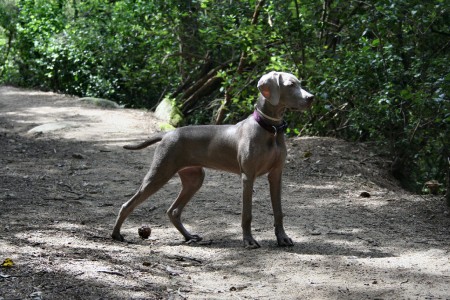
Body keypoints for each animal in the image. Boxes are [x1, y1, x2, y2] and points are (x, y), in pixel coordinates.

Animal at [112, 71, 312, 248]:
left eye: (299, 83)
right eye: (290, 85)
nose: (312, 97)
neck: (270, 128)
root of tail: (168, 133)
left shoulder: (276, 174)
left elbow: (279, 211)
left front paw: (282, 238)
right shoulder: (248, 176)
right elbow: (247, 214)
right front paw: (248, 241)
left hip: (194, 178)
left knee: (173, 211)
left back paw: (189, 237)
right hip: (160, 173)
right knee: (127, 204)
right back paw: (116, 235)